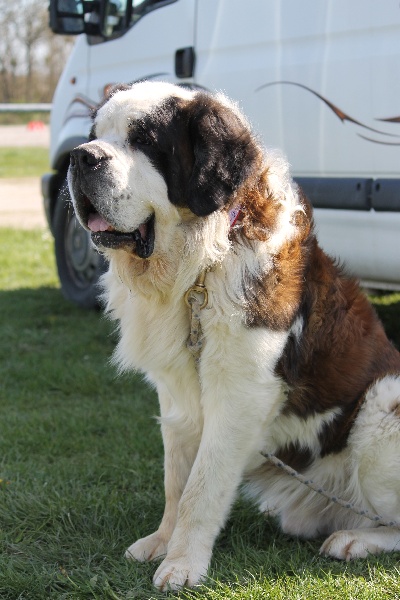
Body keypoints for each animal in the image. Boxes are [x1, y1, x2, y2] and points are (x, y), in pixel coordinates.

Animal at [68, 81, 400, 592]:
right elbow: (176, 480)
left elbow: (201, 487)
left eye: (145, 141)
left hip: (383, 406)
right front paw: (162, 542)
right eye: (93, 135)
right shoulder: (178, 396)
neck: (203, 262)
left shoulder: (241, 393)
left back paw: (354, 540)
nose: (81, 157)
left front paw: (183, 564)